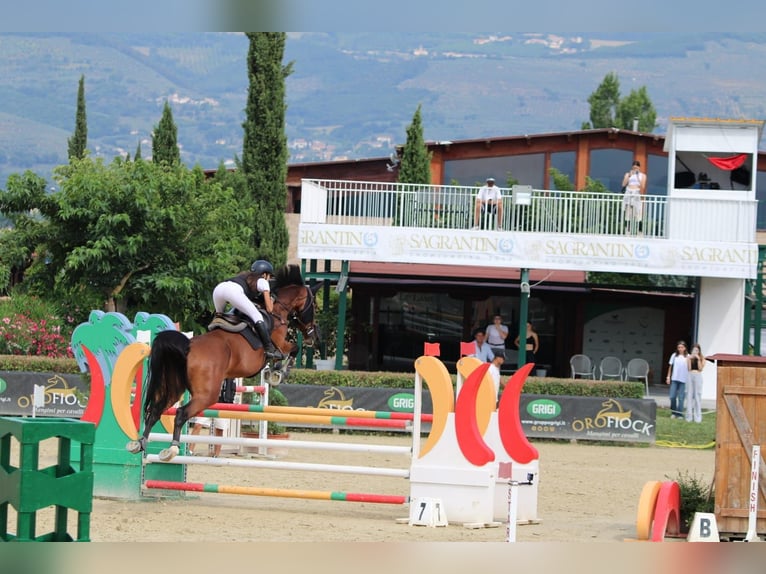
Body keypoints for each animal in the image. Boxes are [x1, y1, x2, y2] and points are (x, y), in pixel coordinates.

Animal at [127, 266, 320, 464]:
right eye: (313, 306)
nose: (312, 336)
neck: (277, 311)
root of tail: (188, 346)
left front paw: (274, 372)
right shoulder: (280, 344)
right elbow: (293, 349)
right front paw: (278, 372)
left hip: (175, 388)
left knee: (155, 410)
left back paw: (140, 443)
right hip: (207, 395)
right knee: (180, 414)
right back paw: (171, 449)